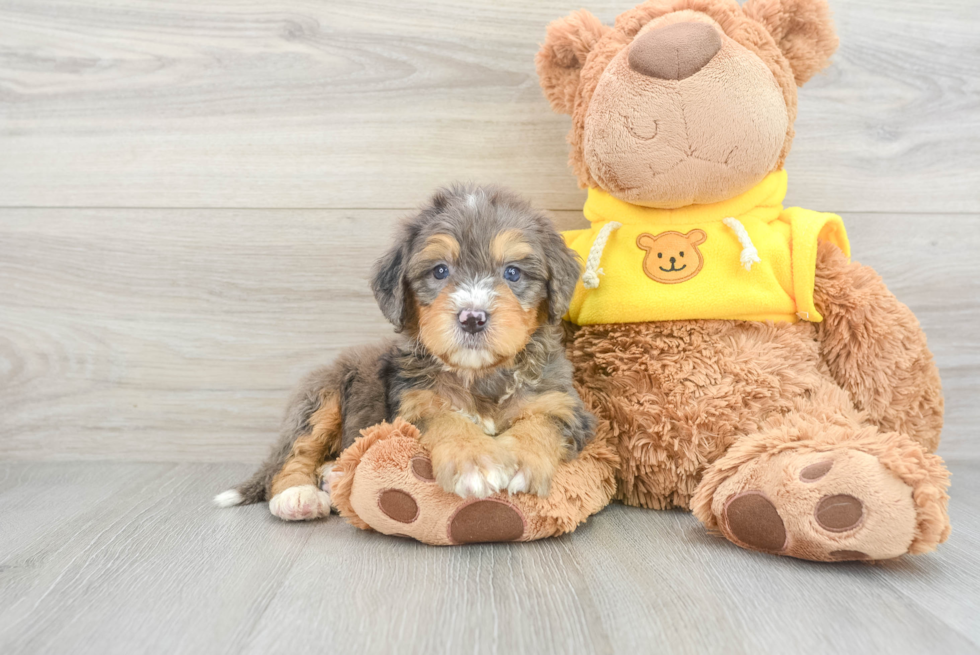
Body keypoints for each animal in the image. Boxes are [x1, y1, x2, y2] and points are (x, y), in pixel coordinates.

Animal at [217, 184, 592, 524]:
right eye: (440, 270)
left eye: (512, 272)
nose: (472, 318)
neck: (479, 376)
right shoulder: (413, 405)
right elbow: (448, 419)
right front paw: (474, 462)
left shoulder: (564, 405)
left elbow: (543, 422)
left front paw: (519, 461)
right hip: (323, 394)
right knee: (293, 456)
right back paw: (298, 496)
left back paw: (331, 475)